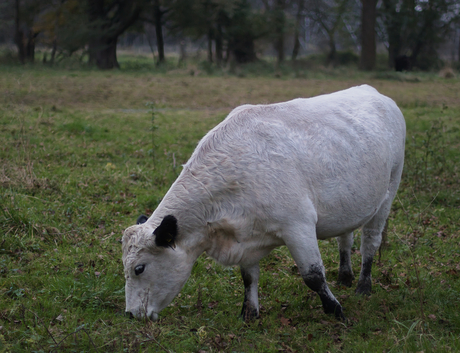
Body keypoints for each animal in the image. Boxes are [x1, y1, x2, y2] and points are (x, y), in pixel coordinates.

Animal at [122, 84, 406, 320]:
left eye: (139, 268)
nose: (131, 314)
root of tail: (372, 91)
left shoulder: (298, 225)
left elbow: (313, 276)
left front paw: (336, 311)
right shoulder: (246, 237)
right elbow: (249, 277)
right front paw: (249, 313)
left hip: (388, 191)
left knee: (370, 242)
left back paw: (363, 286)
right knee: (345, 237)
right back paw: (345, 276)